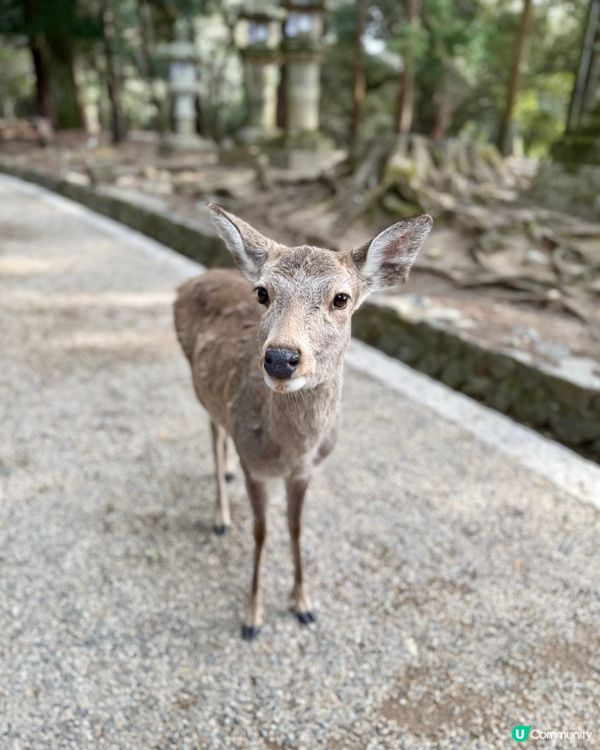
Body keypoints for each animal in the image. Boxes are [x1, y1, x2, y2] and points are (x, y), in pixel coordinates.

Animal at [174, 203, 433, 640]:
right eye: (262, 293)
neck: (289, 450)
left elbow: (296, 528)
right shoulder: (257, 469)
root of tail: (188, 282)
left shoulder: (306, 471)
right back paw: (221, 517)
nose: (280, 358)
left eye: (341, 298)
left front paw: (303, 604)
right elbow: (261, 533)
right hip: (200, 387)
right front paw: (252, 618)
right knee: (215, 433)